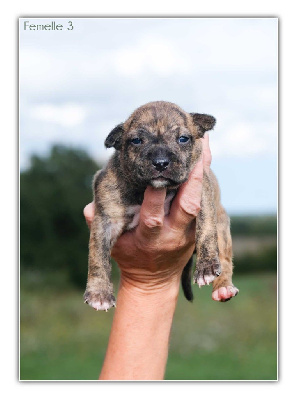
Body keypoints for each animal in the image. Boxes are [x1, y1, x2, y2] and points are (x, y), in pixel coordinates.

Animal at [83, 101, 237, 310]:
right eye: (137, 141)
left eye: (183, 139)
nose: (161, 163)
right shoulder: (106, 219)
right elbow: (98, 255)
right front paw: (99, 293)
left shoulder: (201, 192)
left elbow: (206, 229)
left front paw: (206, 267)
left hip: (222, 224)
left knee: (225, 258)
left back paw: (223, 287)